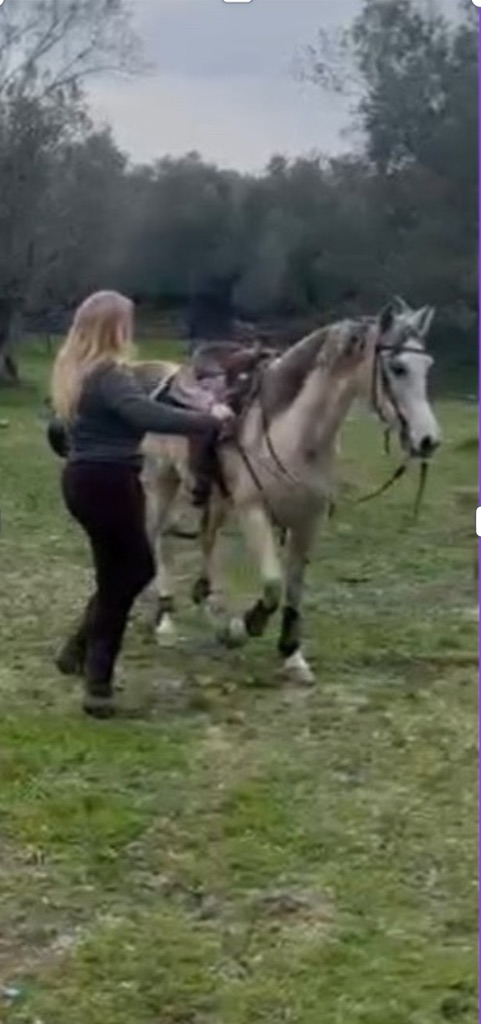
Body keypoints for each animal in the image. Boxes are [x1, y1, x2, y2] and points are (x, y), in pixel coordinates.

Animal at [135, 297, 441, 685]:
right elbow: (272, 585)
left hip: (217, 500)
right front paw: (243, 627)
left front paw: (292, 654)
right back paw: (165, 620)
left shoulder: (309, 521)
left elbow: (294, 590)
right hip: (162, 482)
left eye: (427, 366)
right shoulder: (254, 513)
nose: (428, 440)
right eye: (398, 368)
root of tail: (168, 379)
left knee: (206, 541)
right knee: (159, 540)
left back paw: (210, 610)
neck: (295, 435)